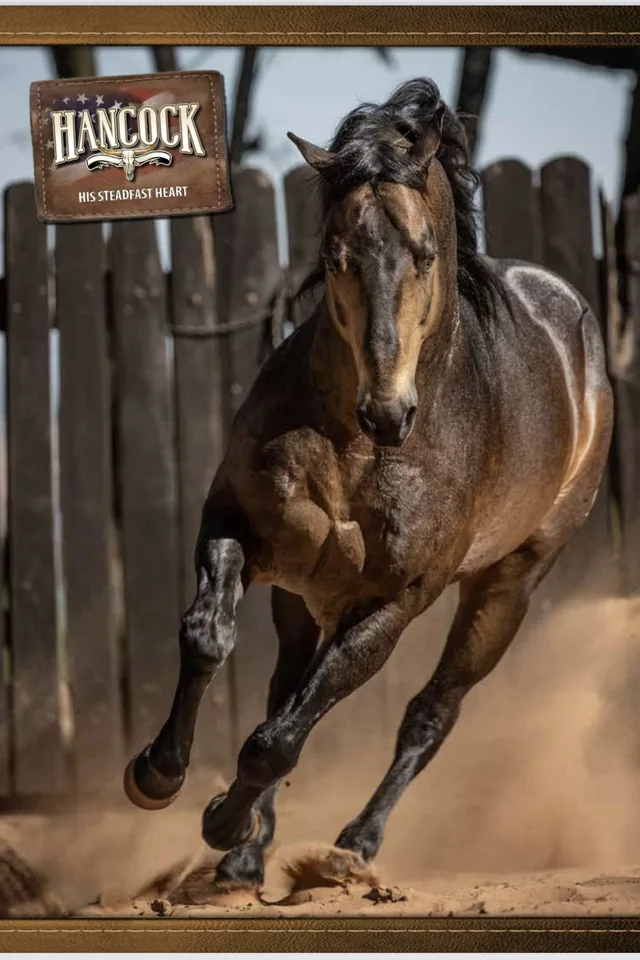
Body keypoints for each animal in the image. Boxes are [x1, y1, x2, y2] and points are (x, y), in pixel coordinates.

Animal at [123, 78, 613, 892]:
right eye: (334, 256)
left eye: (424, 253)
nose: (387, 412)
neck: (359, 451)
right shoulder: (236, 523)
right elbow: (208, 639)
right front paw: (158, 777)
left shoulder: (390, 607)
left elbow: (278, 740)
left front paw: (222, 820)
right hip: (302, 594)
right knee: (285, 688)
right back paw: (253, 852)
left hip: (508, 585)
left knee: (430, 712)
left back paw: (352, 844)